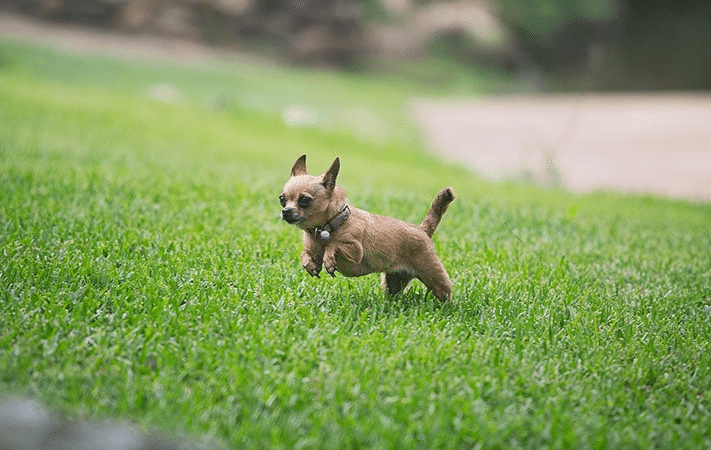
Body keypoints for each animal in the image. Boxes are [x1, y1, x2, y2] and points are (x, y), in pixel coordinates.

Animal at [280, 155, 456, 302]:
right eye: (282, 199)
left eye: (304, 200)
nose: (285, 211)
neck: (327, 227)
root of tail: (422, 229)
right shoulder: (313, 250)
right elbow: (304, 253)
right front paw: (309, 265)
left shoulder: (355, 251)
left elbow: (334, 245)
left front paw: (328, 259)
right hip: (393, 281)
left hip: (435, 279)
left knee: (445, 293)